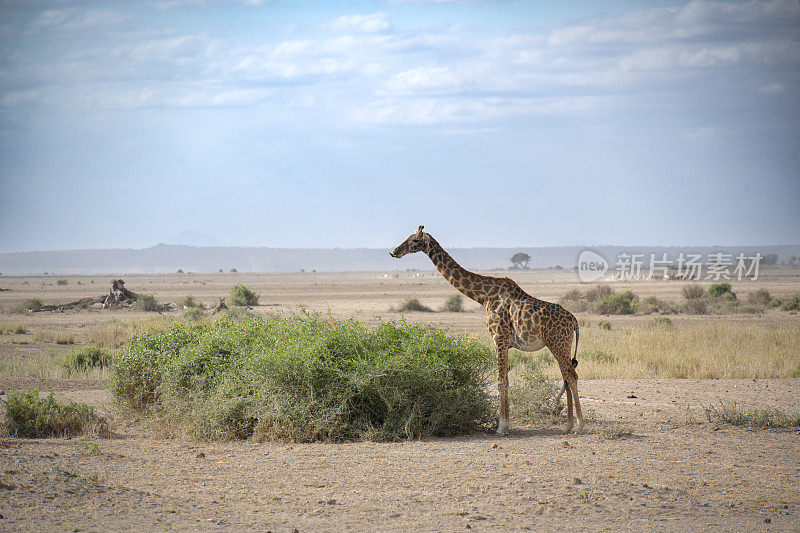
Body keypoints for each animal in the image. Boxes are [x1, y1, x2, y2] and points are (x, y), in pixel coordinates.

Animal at [390, 227, 584, 434]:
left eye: (414, 240)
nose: (395, 251)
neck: (484, 297)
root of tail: (573, 320)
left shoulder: (499, 337)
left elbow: (500, 380)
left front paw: (501, 427)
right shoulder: (504, 342)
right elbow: (506, 380)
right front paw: (505, 425)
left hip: (558, 344)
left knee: (571, 376)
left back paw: (579, 426)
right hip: (559, 345)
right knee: (566, 376)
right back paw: (568, 425)